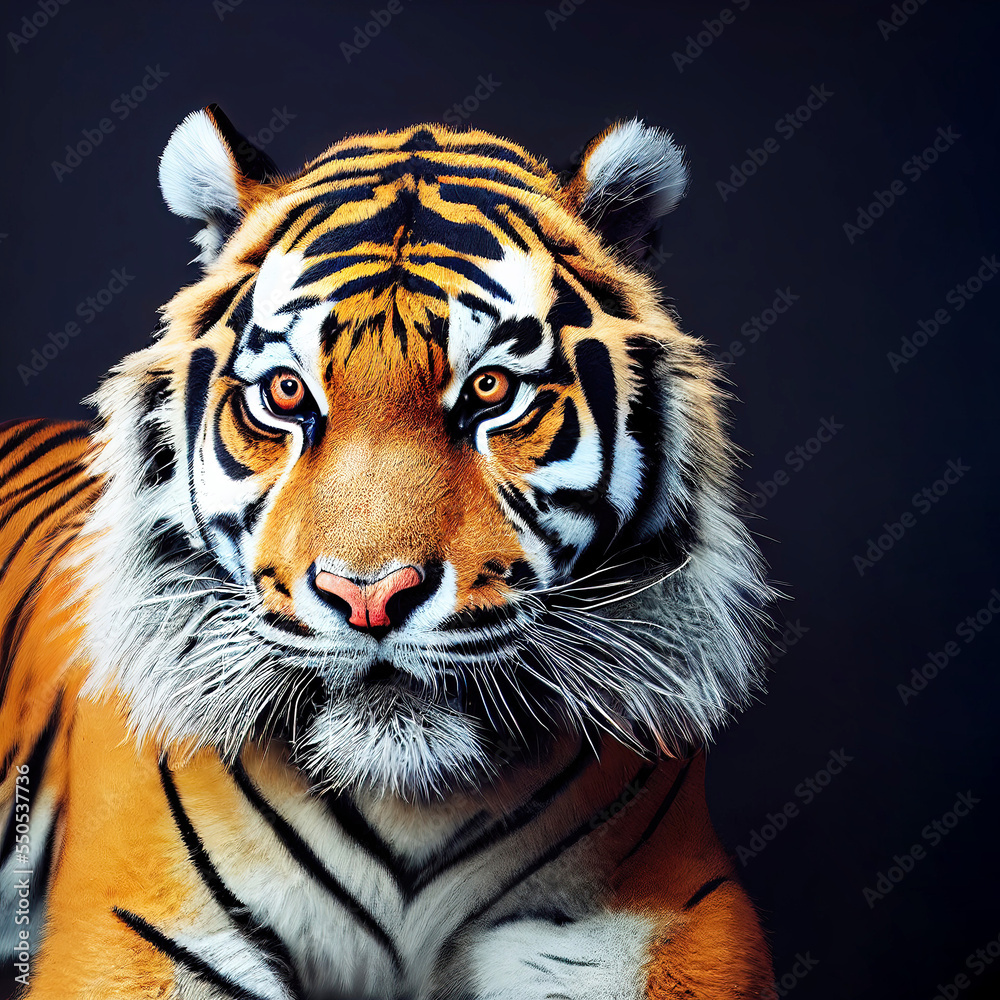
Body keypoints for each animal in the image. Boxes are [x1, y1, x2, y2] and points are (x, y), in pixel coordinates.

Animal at [0, 106, 775, 999]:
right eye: (287, 392)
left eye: (491, 390)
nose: (368, 597)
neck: (406, 800)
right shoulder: (137, 922)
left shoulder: (662, 915)